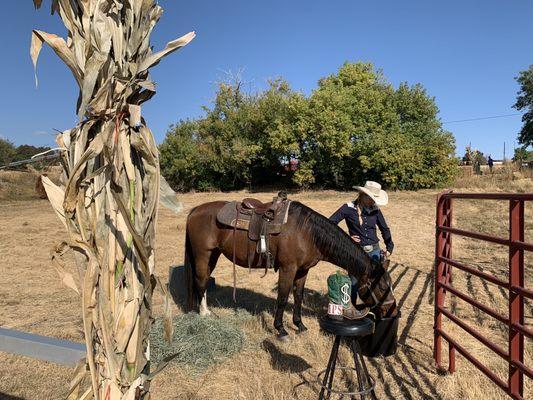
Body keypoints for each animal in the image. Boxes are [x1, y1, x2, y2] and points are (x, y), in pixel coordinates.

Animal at [183, 200, 394, 338]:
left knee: (203, 281)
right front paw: (281, 329)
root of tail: (195, 210)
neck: (307, 232)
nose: (390, 310)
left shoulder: (302, 270)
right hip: (203, 254)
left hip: (214, 255)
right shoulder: (288, 268)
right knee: (200, 280)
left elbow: (298, 297)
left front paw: (299, 325)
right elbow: (283, 298)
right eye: (383, 287)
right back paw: (204, 314)